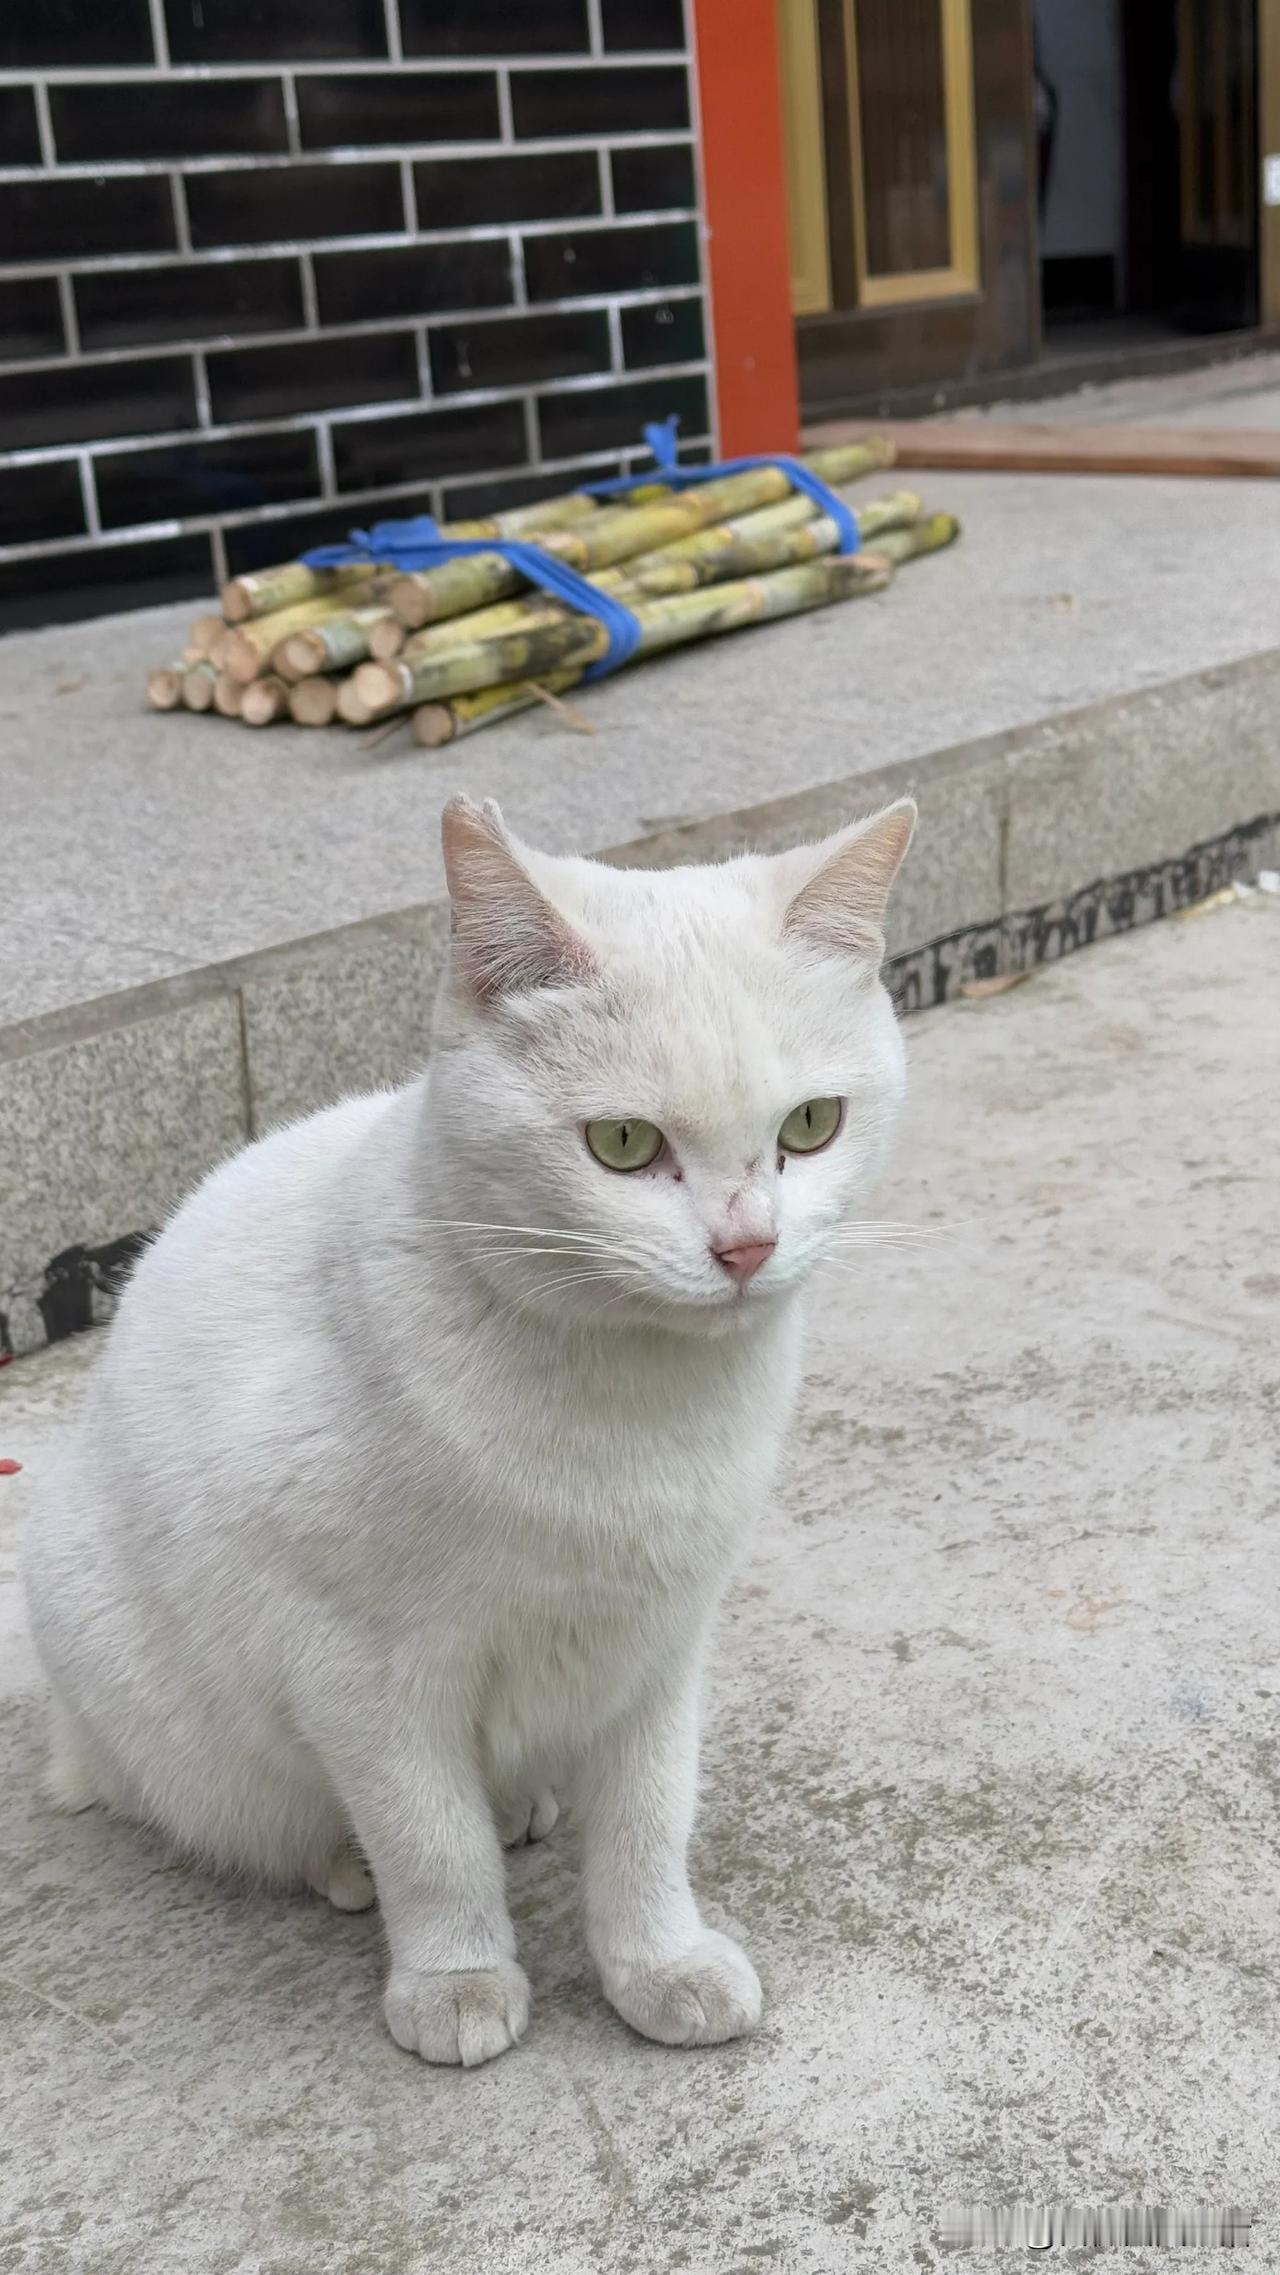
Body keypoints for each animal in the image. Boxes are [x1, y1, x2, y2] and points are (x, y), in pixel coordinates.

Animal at [25, 791, 918, 2074]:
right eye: (620, 1145)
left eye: (809, 1124)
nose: (746, 1246)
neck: (629, 1409)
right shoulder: (358, 1672)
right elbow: (428, 1839)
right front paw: (454, 1976)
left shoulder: (660, 1641)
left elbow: (649, 1819)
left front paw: (656, 1964)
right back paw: (344, 1862)